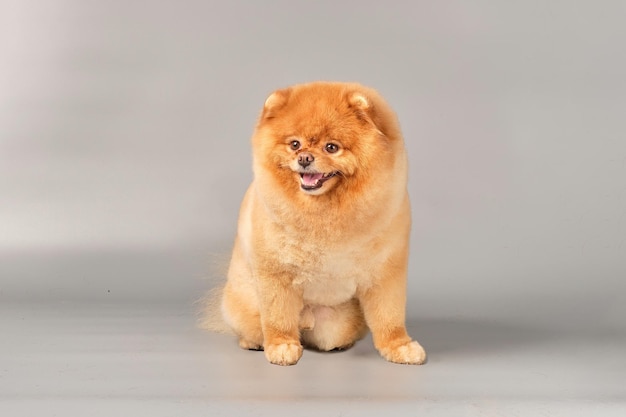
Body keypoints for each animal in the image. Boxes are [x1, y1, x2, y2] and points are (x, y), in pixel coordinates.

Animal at [212, 80, 422, 364]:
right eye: (294, 144)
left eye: (331, 147)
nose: (304, 158)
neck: (326, 213)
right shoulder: (276, 272)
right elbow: (277, 315)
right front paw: (281, 345)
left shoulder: (386, 272)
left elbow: (390, 316)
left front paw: (400, 346)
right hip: (245, 303)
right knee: (252, 324)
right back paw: (254, 342)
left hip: (339, 323)